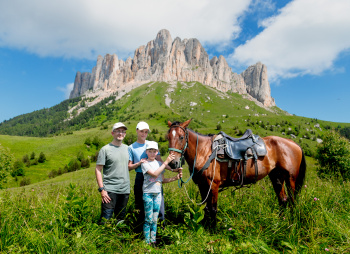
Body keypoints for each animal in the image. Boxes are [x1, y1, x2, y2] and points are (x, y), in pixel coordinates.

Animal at [167, 118, 306, 225]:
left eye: (181, 137)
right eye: (167, 138)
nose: (172, 163)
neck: (203, 152)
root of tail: (294, 144)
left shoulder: (214, 185)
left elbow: (213, 209)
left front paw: (213, 230)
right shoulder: (203, 186)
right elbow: (205, 208)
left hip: (290, 178)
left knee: (292, 201)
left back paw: (291, 223)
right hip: (276, 177)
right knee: (283, 200)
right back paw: (280, 222)